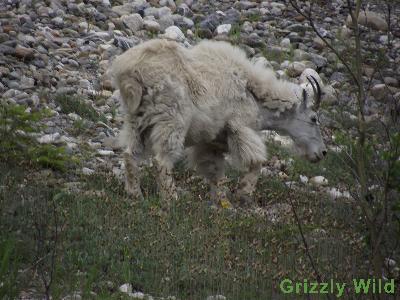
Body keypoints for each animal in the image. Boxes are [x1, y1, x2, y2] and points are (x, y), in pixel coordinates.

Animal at [110, 38, 328, 207]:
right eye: (313, 118)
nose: (322, 153)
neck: (254, 93)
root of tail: (131, 72)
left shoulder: (211, 142)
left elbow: (215, 172)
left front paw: (223, 203)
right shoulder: (240, 127)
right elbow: (256, 161)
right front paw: (243, 194)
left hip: (136, 118)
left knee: (131, 153)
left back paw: (135, 194)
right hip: (172, 118)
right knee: (162, 159)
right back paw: (171, 198)